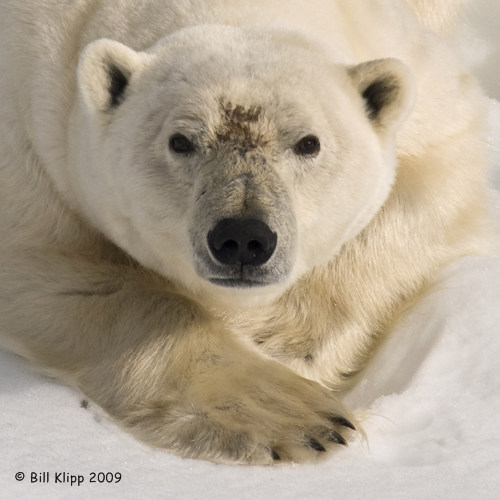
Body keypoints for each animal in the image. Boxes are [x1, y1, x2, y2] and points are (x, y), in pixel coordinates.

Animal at [0, 0, 490, 464]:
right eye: (180, 141)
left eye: (309, 142)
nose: (243, 239)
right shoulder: (33, 112)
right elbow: (53, 267)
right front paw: (296, 415)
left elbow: (440, 169)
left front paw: (282, 342)